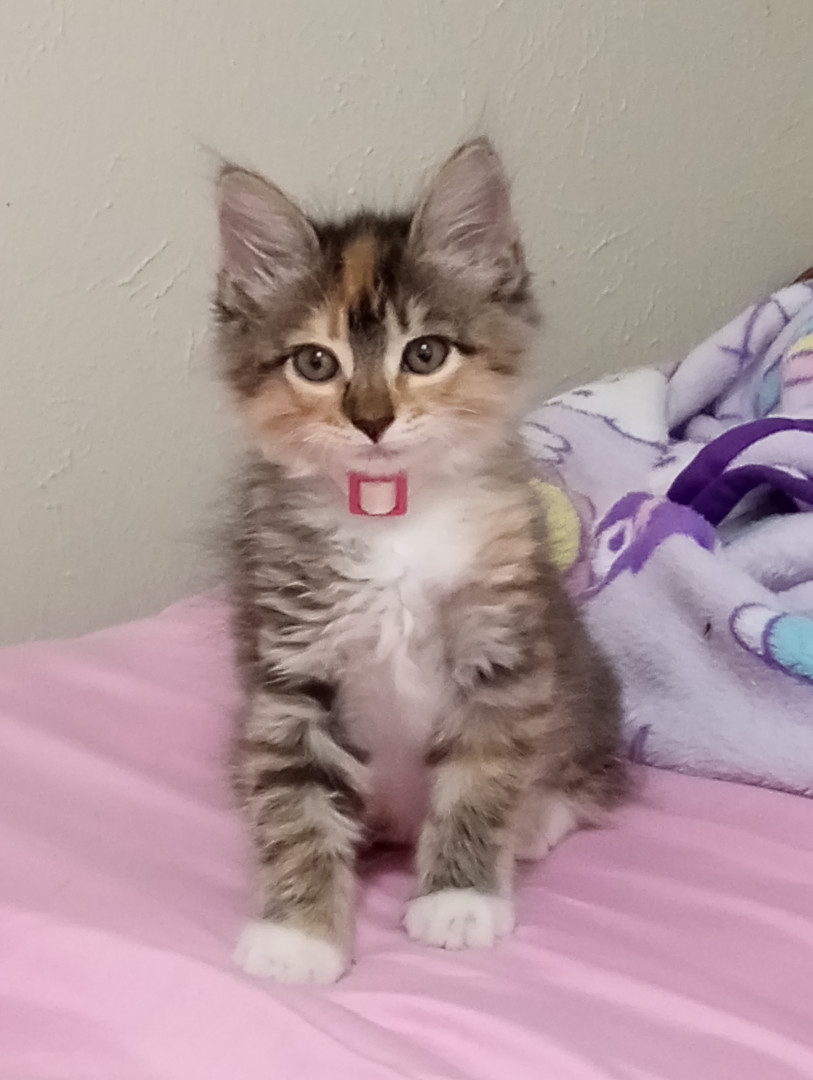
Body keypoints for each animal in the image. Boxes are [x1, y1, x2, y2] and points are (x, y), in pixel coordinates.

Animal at [214, 139, 627, 984]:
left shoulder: (503, 652)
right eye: (315, 363)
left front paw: (459, 899)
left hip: (587, 690)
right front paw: (298, 934)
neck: (391, 520)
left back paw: (533, 819)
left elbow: (480, 780)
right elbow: (294, 803)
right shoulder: (288, 672)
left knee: (588, 777)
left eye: (425, 353)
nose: (371, 420)